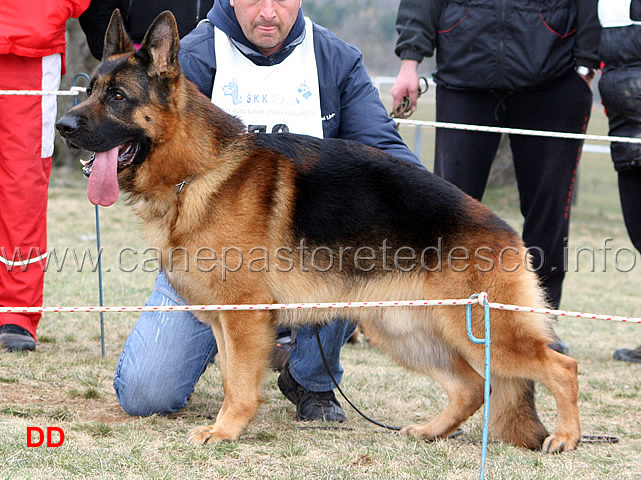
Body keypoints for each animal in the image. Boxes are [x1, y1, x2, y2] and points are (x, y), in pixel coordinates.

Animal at [56, 11, 580, 454]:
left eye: (118, 97)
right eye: (91, 90)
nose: (62, 125)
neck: (198, 169)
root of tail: (505, 230)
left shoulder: (244, 317)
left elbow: (238, 383)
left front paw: (226, 431)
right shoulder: (226, 320)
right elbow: (228, 376)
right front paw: (228, 426)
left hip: (483, 333)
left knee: (561, 365)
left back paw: (567, 437)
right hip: (404, 331)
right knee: (473, 386)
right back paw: (430, 431)